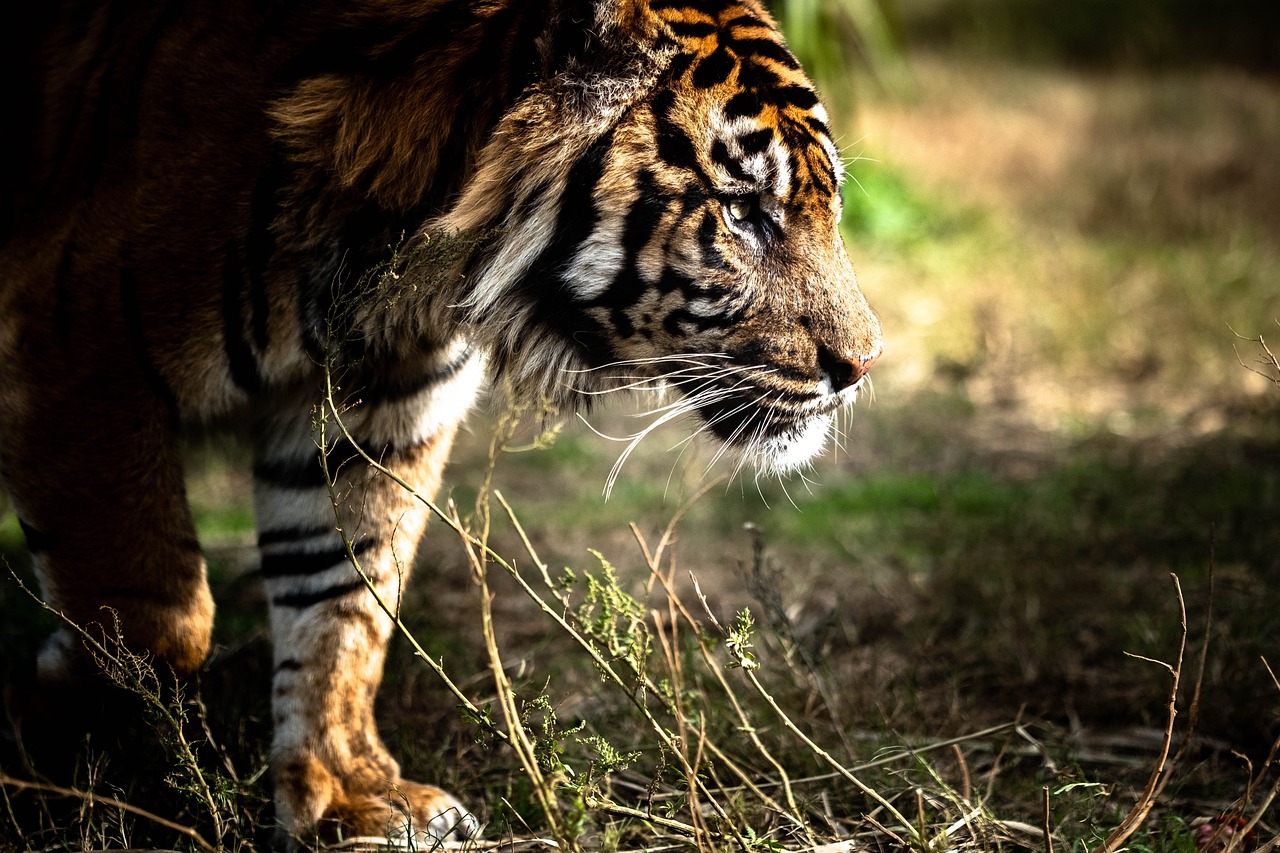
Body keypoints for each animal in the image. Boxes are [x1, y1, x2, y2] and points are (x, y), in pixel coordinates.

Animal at [0, 0, 882, 845]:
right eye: (742, 211)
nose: (865, 364)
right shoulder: (79, 348)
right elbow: (154, 617)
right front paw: (45, 739)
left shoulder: (378, 402)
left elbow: (344, 598)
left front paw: (347, 796)